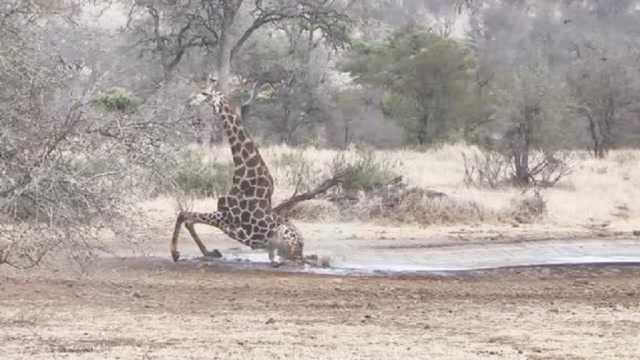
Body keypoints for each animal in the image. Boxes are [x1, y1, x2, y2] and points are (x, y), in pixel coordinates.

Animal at [171, 82, 304, 268]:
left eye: (204, 93)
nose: (189, 102)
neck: (243, 172)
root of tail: (302, 246)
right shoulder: (223, 217)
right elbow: (188, 218)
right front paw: (211, 252)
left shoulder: (226, 217)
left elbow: (184, 214)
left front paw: (175, 253)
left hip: (286, 236)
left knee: (298, 260)